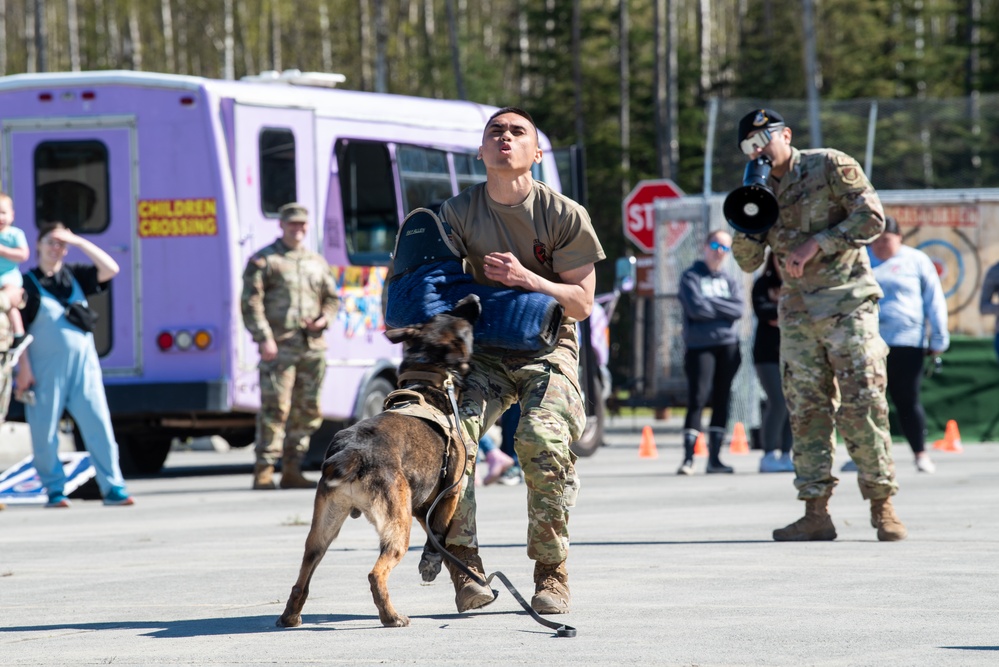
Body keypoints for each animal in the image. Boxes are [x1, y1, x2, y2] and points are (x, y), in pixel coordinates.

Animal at [280, 294, 482, 628]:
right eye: (462, 323)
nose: (474, 297)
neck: (426, 382)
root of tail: (353, 451)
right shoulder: (449, 492)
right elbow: (439, 534)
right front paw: (431, 564)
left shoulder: (420, 505)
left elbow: (434, 531)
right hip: (397, 527)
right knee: (376, 574)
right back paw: (391, 616)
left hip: (323, 530)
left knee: (304, 573)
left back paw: (290, 615)